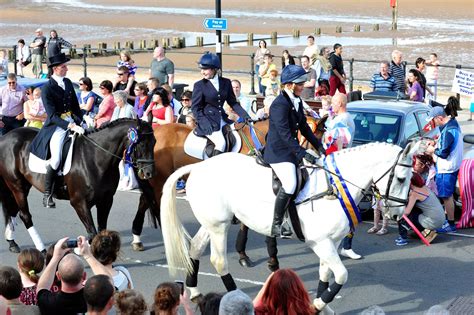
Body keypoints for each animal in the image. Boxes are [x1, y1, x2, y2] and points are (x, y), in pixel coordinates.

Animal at [0, 119, 155, 254]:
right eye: (141, 144)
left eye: (154, 142)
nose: (149, 173)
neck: (96, 158)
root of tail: (6, 137)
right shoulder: (79, 202)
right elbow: (93, 233)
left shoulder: (106, 201)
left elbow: (101, 233)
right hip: (17, 185)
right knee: (24, 215)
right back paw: (42, 249)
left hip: (23, 186)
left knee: (12, 211)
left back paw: (12, 243)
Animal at [131, 116, 328, 270]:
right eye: (307, 136)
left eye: (320, 136)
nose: (317, 161)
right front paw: (248, 255)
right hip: (159, 181)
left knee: (144, 201)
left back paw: (137, 239)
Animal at [161, 141, 424, 314]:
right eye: (402, 178)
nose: (398, 213)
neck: (335, 187)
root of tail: (198, 167)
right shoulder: (321, 242)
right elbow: (341, 274)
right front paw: (318, 304)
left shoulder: (330, 242)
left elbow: (325, 275)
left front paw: (319, 307)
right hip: (219, 227)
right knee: (218, 261)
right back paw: (238, 298)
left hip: (212, 222)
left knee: (195, 249)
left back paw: (195, 292)